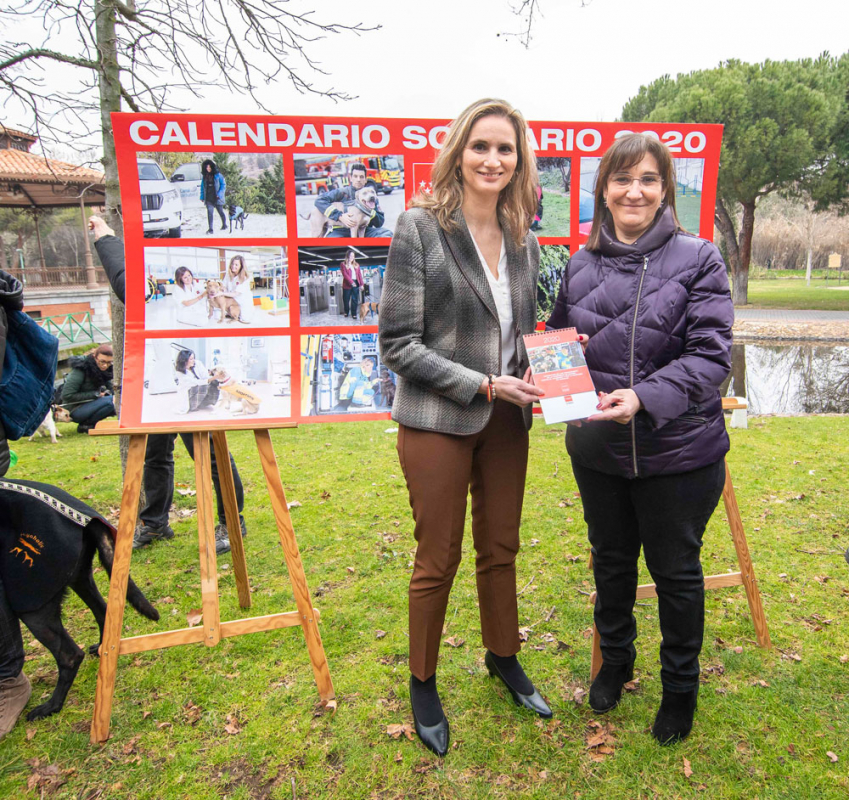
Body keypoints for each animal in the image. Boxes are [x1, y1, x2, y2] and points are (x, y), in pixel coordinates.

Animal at [0, 478, 158, 720]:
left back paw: (51, 706)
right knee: (103, 612)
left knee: (70, 655)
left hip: (31, 602)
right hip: (78, 577)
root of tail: (88, 520)